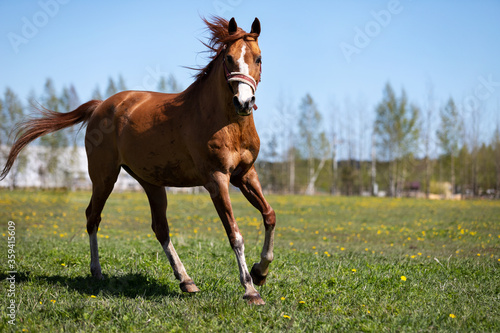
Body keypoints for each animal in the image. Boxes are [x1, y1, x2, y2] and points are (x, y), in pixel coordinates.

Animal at [0, 16, 276, 304]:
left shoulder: (245, 174)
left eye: (258, 58)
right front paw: (250, 290)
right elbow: (234, 233)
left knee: (160, 228)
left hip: (151, 182)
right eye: (229, 58)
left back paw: (186, 280)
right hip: (104, 177)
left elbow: (269, 215)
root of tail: (100, 106)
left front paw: (260, 272)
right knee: (93, 217)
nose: (244, 102)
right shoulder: (216, 179)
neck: (225, 122)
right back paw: (97, 271)